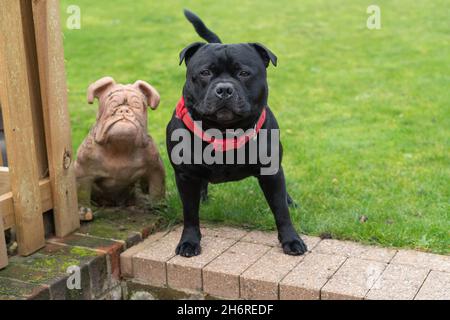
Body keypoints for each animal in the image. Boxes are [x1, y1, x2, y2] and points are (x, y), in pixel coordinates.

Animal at [167, 10, 308, 258]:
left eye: (244, 73)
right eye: (205, 73)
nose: (224, 89)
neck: (224, 130)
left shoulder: (271, 171)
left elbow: (280, 210)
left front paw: (291, 239)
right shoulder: (185, 175)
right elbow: (190, 214)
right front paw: (189, 241)